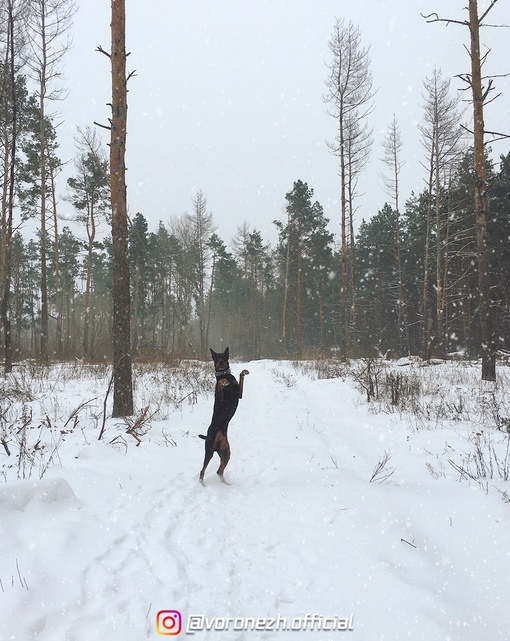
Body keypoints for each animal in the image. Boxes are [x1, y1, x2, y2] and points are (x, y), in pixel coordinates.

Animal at [197, 348, 249, 482]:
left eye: (224, 356)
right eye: (216, 358)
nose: (220, 362)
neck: (224, 374)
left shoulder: (239, 393)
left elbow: (240, 378)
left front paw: (244, 372)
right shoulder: (220, 395)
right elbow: (220, 383)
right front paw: (224, 382)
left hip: (226, 452)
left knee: (219, 471)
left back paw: (226, 484)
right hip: (209, 449)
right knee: (202, 471)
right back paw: (202, 483)